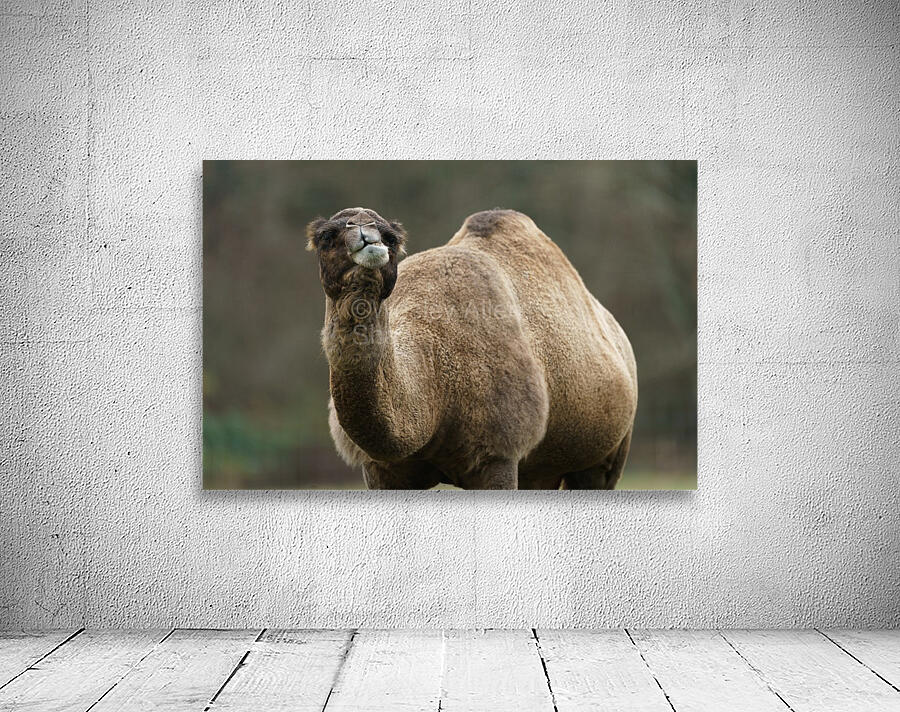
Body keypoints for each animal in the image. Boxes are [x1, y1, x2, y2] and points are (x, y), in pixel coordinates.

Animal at [306, 207, 637, 489]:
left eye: (391, 238)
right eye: (326, 236)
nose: (365, 232)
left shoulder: (498, 454)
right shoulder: (380, 468)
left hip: (608, 456)